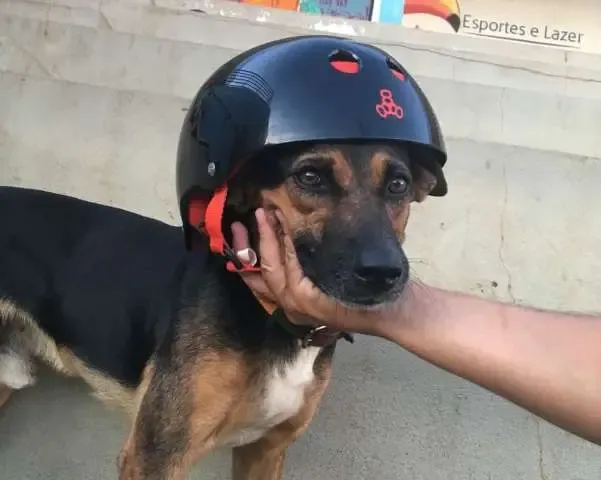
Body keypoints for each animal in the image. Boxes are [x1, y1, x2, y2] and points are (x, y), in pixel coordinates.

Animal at [0, 141, 436, 478]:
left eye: (398, 185)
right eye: (310, 177)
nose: (384, 273)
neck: (271, 316)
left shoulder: (264, 452)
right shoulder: (156, 457)